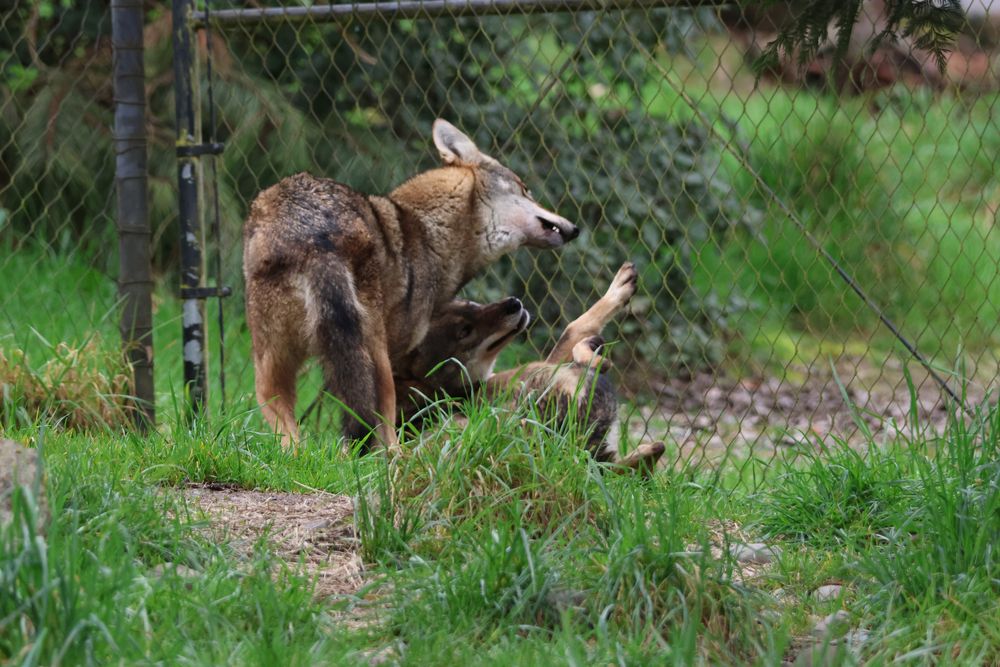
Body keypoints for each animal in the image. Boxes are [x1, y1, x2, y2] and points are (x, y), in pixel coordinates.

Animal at [243, 120, 578, 451]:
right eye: (526, 189)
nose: (574, 229)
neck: (427, 230)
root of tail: (313, 236)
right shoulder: (397, 353)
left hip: (274, 360)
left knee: (276, 410)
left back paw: (296, 455)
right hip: (371, 348)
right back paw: (395, 456)